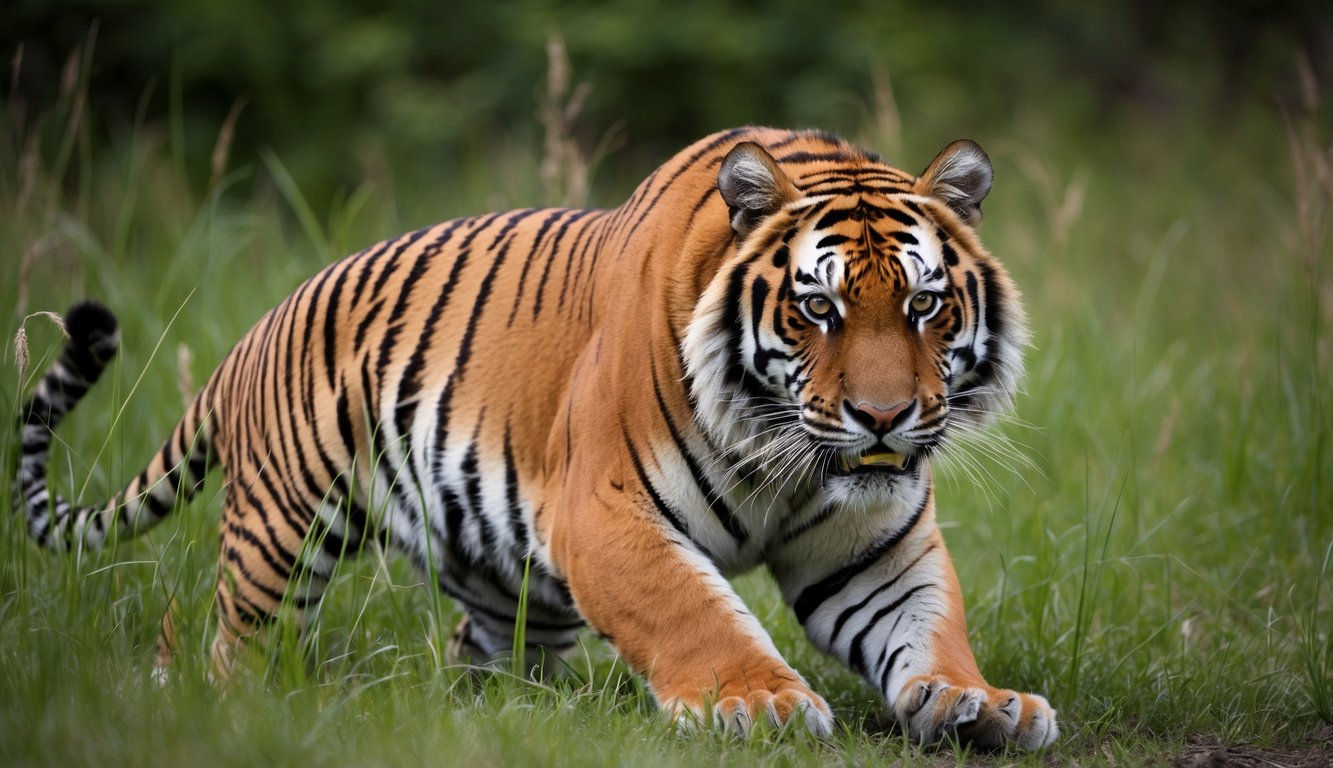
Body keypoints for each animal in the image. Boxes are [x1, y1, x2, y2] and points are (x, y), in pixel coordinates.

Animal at [16, 126, 1058, 749]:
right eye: (817, 310)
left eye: (922, 305)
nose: (882, 418)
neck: (787, 461)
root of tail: (251, 336)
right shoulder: (602, 513)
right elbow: (694, 611)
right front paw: (758, 702)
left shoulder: (872, 541)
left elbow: (926, 623)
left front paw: (978, 702)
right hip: (281, 531)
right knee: (222, 636)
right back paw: (225, 708)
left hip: (505, 573)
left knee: (473, 651)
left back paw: (510, 714)